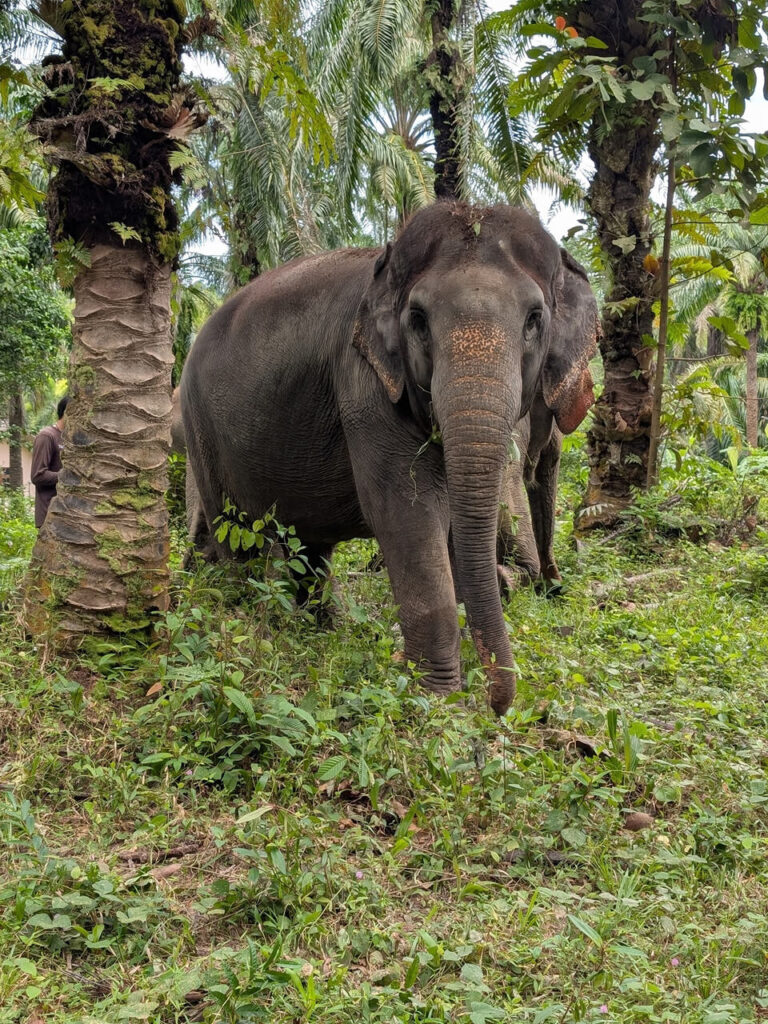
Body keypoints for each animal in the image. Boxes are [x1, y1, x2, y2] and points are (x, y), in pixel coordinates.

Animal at [180, 202, 598, 715]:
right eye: (417, 318)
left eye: (535, 318)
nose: (498, 704)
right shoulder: (363, 385)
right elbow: (406, 514)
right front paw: (436, 698)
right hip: (201, 430)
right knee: (237, 535)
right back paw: (247, 630)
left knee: (309, 545)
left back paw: (319, 630)